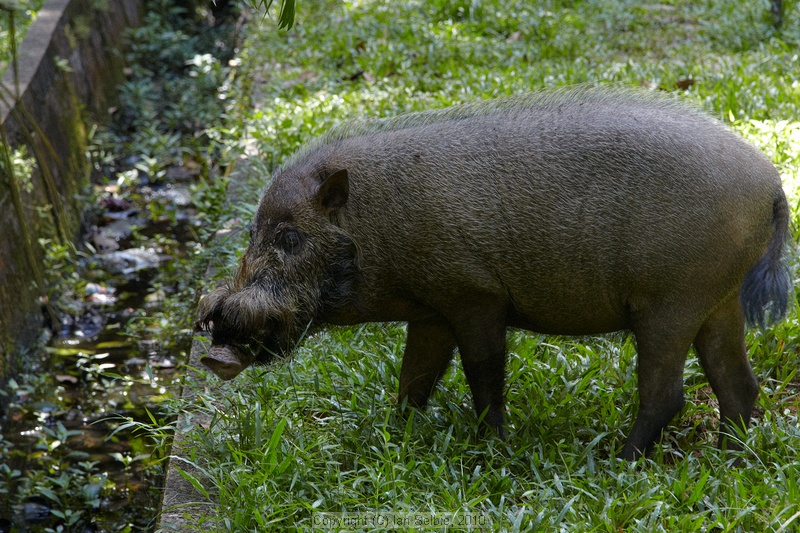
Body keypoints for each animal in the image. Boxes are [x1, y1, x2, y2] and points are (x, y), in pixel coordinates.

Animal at [197, 88, 791, 459]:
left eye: (290, 238)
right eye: (252, 233)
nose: (215, 353)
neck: (375, 224)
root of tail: (773, 184)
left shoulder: (475, 296)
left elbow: (483, 375)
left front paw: (492, 448)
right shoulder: (432, 311)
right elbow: (414, 380)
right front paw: (394, 439)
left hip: (670, 305)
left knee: (669, 396)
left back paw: (615, 464)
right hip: (717, 302)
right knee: (740, 387)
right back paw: (728, 461)